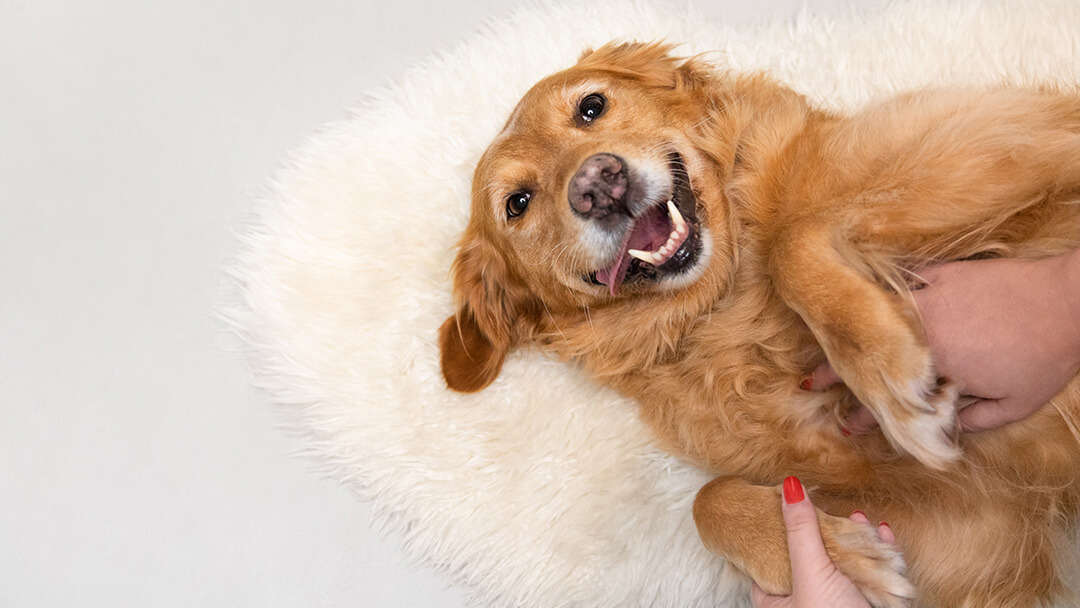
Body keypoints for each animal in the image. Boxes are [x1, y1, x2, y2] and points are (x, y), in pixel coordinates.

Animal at [436, 44, 1080, 608]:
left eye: (591, 107)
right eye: (518, 203)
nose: (598, 183)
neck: (726, 303)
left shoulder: (1001, 141)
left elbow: (793, 237)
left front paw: (889, 378)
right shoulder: (980, 525)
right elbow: (709, 499)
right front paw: (844, 559)